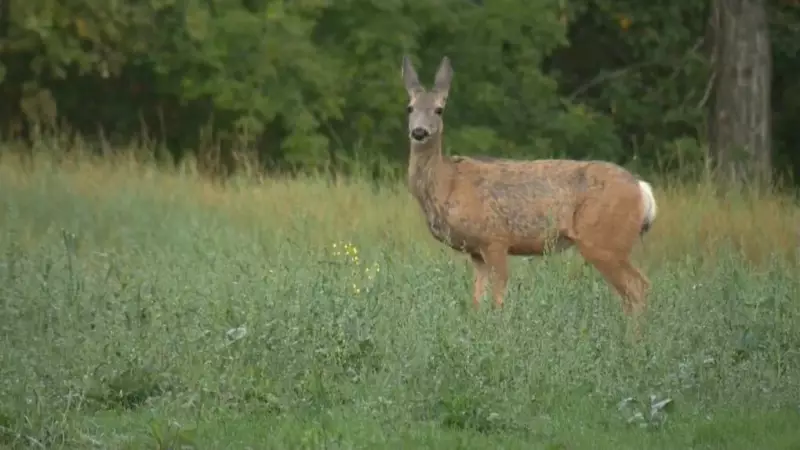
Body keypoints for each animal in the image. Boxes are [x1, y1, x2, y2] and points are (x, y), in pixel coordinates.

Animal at [401, 55, 658, 331]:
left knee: (638, 287)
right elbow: (476, 302)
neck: (447, 183)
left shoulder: (495, 238)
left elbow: (498, 299)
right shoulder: (475, 251)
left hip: (603, 240)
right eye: (410, 108)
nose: (419, 132)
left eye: (439, 109)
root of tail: (642, 189)